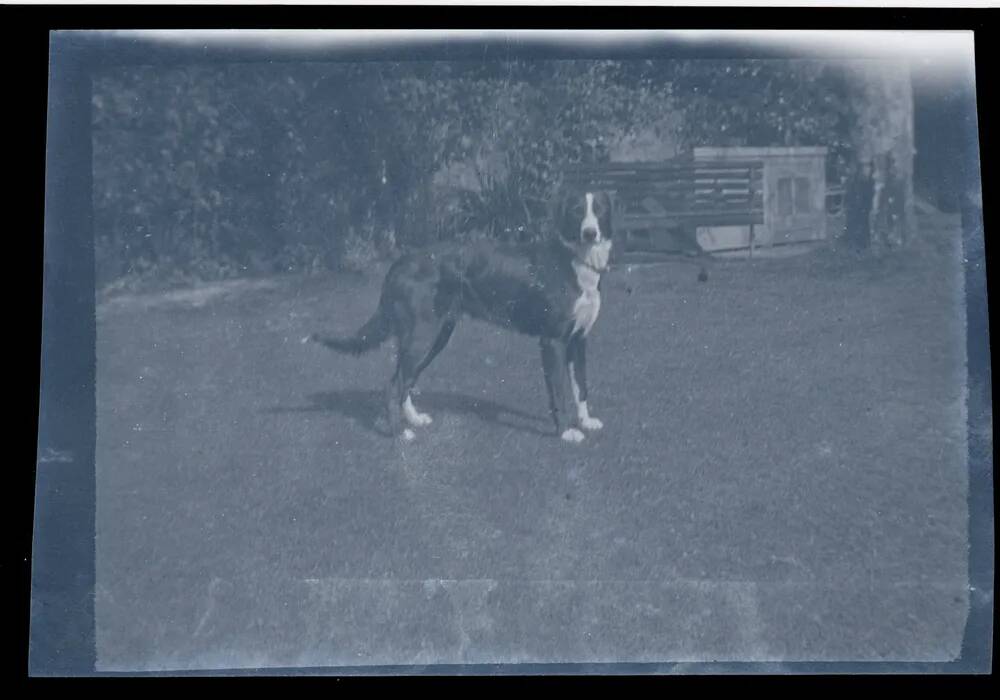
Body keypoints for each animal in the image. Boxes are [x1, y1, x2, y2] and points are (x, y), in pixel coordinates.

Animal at [304, 190, 612, 442]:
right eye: (576, 210)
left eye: (599, 209)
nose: (590, 233)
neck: (574, 262)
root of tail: (399, 263)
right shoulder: (553, 341)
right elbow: (560, 391)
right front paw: (566, 431)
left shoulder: (578, 340)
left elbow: (581, 386)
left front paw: (585, 421)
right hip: (422, 336)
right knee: (393, 385)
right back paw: (399, 433)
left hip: (434, 336)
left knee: (406, 380)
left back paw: (413, 419)